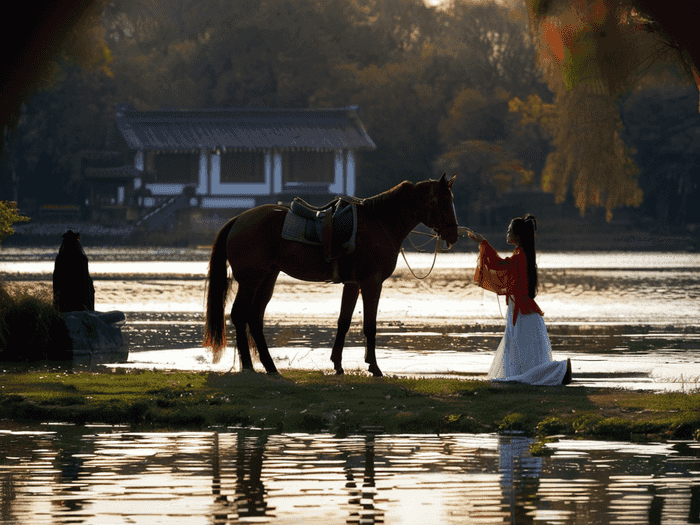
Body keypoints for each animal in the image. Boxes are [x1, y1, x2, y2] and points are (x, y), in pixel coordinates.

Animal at [202, 173, 460, 376]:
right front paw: (374, 367)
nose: (454, 235)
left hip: (267, 278)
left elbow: (343, 322)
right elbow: (370, 325)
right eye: (445, 201)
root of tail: (239, 219)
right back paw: (248, 365)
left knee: (254, 318)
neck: (380, 223)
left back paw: (270, 366)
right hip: (251, 280)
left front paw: (337, 364)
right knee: (239, 315)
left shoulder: (352, 284)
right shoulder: (371, 283)